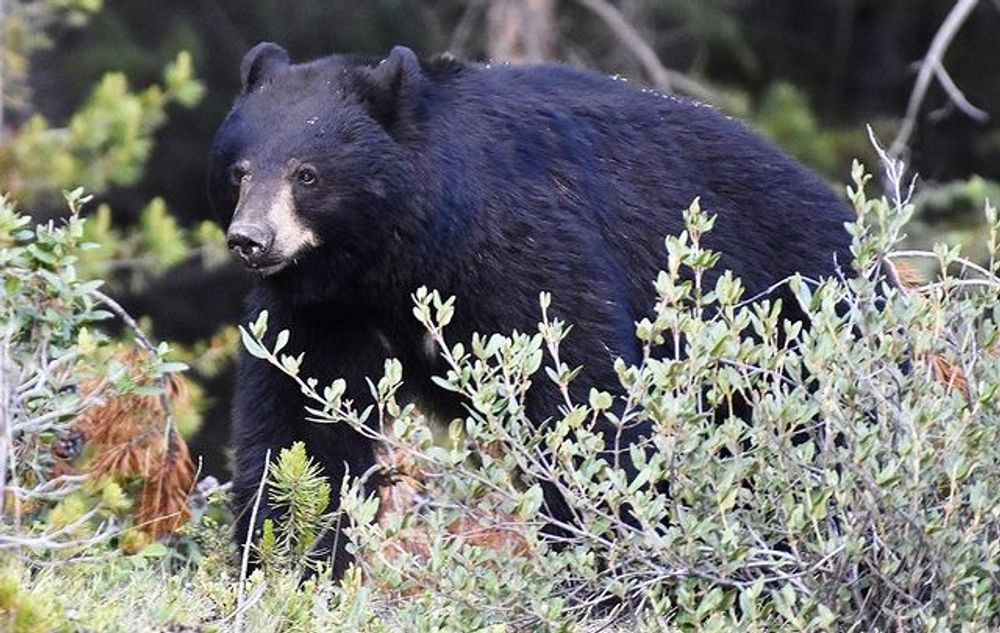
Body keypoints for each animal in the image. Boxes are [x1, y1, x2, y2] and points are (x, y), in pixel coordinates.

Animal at [209, 42, 852, 576]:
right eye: (240, 172)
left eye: (307, 174)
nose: (251, 239)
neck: (397, 253)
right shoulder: (326, 306)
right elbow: (301, 427)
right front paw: (290, 562)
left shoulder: (522, 249)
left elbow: (579, 393)